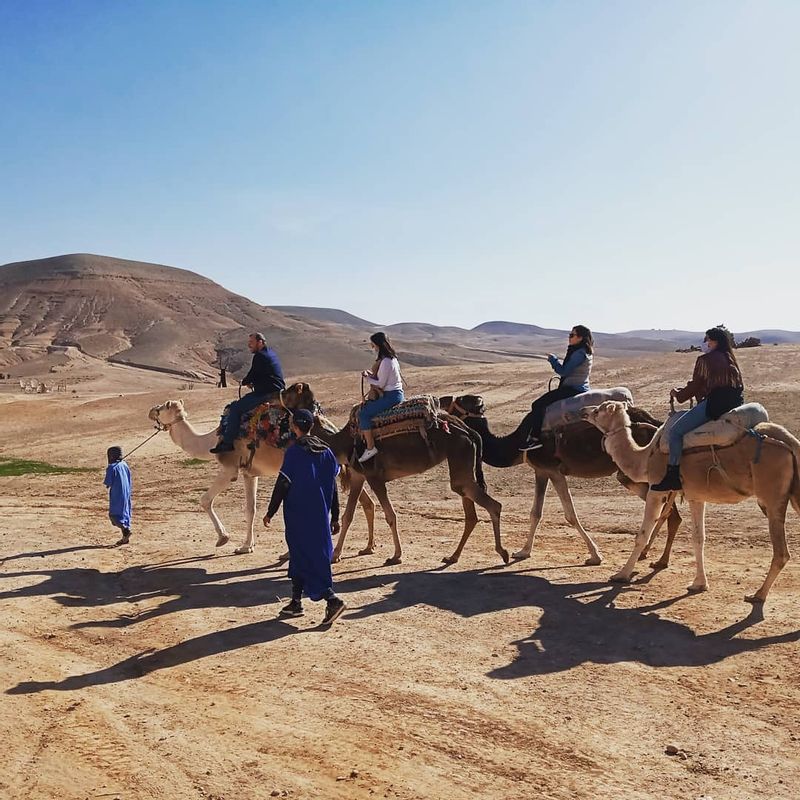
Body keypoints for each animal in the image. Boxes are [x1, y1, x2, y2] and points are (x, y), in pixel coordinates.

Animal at [149, 400, 376, 556]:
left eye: (162, 408)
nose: (151, 411)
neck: (213, 440)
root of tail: (332, 429)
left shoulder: (230, 468)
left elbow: (205, 500)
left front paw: (223, 538)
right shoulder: (250, 473)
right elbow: (250, 509)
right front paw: (246, 546)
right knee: (366, 501)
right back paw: (368, 547)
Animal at [282, 382, 506, 564]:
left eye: (293, 390)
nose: (281, 392)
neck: (343, 443)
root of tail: (470, 431)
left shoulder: (374, 477)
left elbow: (390, 515)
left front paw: (396, 555)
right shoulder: (358, 476)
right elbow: (348, 516)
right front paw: (335, 554)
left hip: (460, 459)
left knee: (491, 505)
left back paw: (502, 553)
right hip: (461, 464)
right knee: (471, 510)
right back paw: (453, 556)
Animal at [440, 396, 684, 564]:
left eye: (460, 400)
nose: (442, 404)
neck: (518, 443)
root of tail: (655, 422)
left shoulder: (554, 470)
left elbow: (570, 514)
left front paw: (595, 555)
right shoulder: (541, 471)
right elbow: (535, 513)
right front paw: (523, 551)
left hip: (636, 472)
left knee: (667, 509)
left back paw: (655, 558)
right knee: (671, 512)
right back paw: (655, 558)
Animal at [580, 404, 800, 604]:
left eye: (598, 410)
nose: (583, 410)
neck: (645, 456)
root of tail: (788, 442)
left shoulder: (656, 489)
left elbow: (642, 535)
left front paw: (621, 574)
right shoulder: (696, 496)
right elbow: (698, 538)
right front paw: (699, 584)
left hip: (771, 498)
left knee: (781, 553)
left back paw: (758, 595)